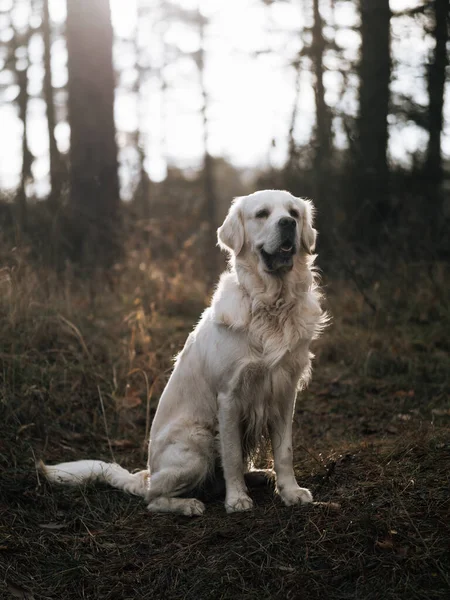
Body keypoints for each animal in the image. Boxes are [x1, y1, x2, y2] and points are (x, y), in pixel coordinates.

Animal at [40, 191, 326, 516]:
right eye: (263, 214)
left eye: (294, 213)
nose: (288, 223)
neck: (271, 303)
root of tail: (147, 473)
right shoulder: (229, 396)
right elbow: (231, 456)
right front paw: (237, 499)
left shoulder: (284, 391)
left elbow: (284, 450)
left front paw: (290, 491)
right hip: (198, 439)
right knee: (152, 498)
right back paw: (188, 503)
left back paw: (258, 475)